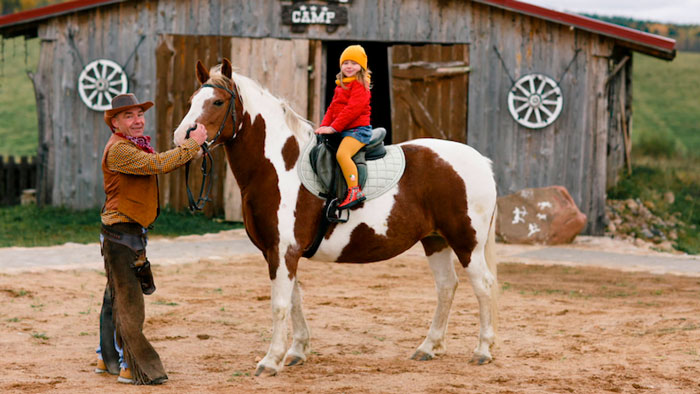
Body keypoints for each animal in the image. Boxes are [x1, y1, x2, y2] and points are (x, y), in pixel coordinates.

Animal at [172, 57, 500, 376]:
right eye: (191, 100)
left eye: (217, 102)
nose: (181, 136)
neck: (280, 167)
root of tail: (480, 161)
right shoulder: (278, 253)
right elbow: (295, 300)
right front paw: (296, 352)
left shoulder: (283, 251)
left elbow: (280, 304)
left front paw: (271, 360)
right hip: (435, 240)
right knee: (446, 287)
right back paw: (429, 347)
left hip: (466, 243)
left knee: (484, 286)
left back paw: (482, 351)